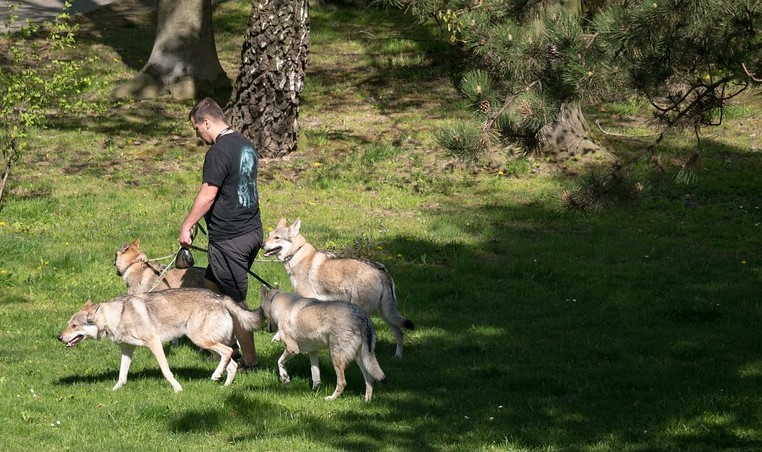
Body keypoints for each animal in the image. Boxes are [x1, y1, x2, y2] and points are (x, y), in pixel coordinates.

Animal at [57, 290, 264, 392]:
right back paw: (223, 385)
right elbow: (122, 375)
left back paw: (215, 376)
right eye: (68, 324)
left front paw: (177, 389)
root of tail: (221, 297)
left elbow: (166, 371)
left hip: (200, 340)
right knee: (232, 365)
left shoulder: (154, 343)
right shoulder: (127, 349)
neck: (115, 316)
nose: (59, 337)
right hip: (207, 343)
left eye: (74, 326)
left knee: (228, 353)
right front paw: (114, 390)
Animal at [258, 286, 386, 402]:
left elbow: (279, 362)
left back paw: (331, 398)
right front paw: (313, 392)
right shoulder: (313, 352)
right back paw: (366, 401)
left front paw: (285, 379)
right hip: (361, 359)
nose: (267, 330)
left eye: (262, 312)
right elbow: (316, 376)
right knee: (370, 380)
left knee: (342, 382)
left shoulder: (292, 349)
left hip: (336, 358)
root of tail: (362, 317)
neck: (282, 304)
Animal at [262, 217, 416, 358]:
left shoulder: (305, 299)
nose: (262, 244)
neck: (296, 254)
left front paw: (279, 337)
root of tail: (381, 270)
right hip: (385, 313)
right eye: (268, 235)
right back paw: (397, 357)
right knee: (399, 333)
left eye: (277, 238)